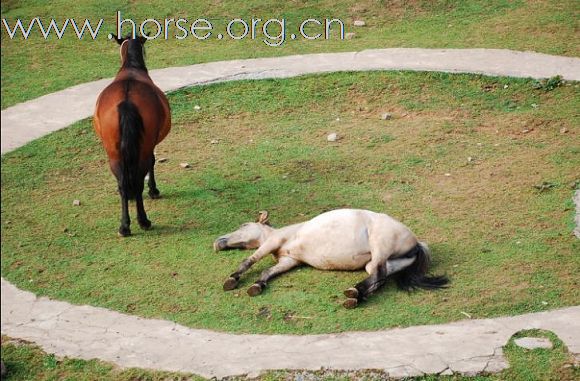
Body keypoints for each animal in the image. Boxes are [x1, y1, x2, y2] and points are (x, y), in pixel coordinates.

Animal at [94, 35, 171, 236]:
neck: (131, 68)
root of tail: (127, 101)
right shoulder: (150, 144)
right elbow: (152, 162)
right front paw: (153, 190)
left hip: (113, 152)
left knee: (123, 183)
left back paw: (125, 225)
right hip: (141, 149)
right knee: (137, 181)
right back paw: (142, 220)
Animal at [214, 208, 448, 306]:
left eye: (244, 225)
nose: (217, 242)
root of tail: (417, 243)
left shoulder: (273, 243)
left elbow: (250, 260)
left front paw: (232, 280)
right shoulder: (289, 261)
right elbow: (267, 272)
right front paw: (257, 285)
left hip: (380, 248)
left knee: (380, 275)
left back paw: (353, 294)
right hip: (378, 262)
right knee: (378, 277)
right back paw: (356, 296)